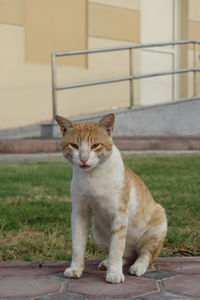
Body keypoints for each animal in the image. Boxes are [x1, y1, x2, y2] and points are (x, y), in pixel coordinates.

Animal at [55, 112, 167, 284]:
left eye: (95, 145)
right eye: (74, 145)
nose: (83, 158)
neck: (93, 175)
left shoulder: (119, 215)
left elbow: (117, 248)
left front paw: (114, 273)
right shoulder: (79, 212)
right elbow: (77, 245)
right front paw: (76, 268)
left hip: (156, 227)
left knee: (145, 254)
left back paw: (137, 266)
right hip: (98, 231)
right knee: (127, 255)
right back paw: (108, 263)